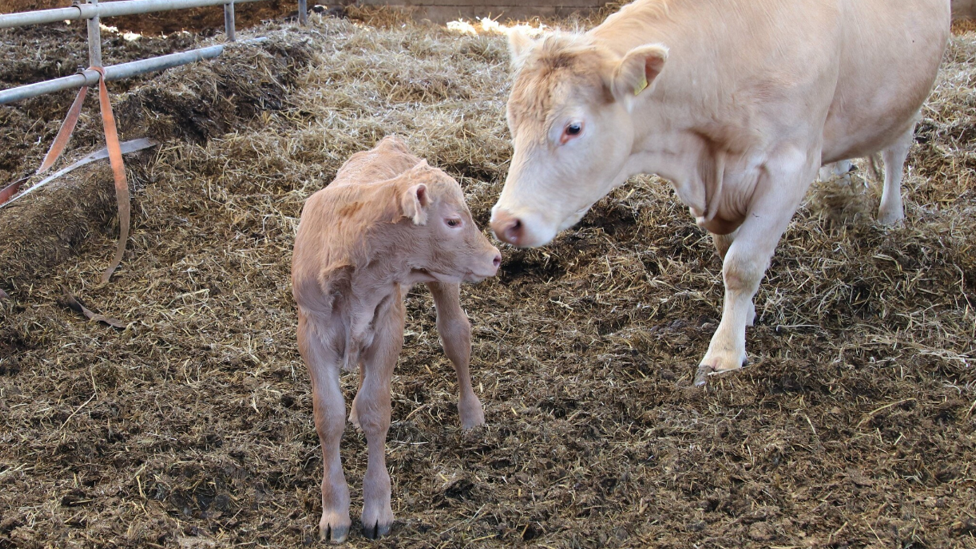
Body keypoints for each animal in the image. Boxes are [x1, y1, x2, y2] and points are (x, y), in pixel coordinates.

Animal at [292, 136, 500, 540]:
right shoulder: (312, 333)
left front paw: (377, 508)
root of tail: (388, 143)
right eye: (452, 220)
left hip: (444, 280)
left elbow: (377, 411)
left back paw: (471, 415)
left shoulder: (389, 326)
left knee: (456, 337)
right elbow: (328, 416)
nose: (496, 257)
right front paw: (335, 513)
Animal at [492, 0, 948, 386]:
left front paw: (725, 351)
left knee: (895, 153)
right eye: (512, 118)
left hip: (906, 103)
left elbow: (742, 264)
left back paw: (890, 217)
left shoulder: (789, 167)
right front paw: (745, 315)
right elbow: (727, 249)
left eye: (573, 127)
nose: (505, 222)